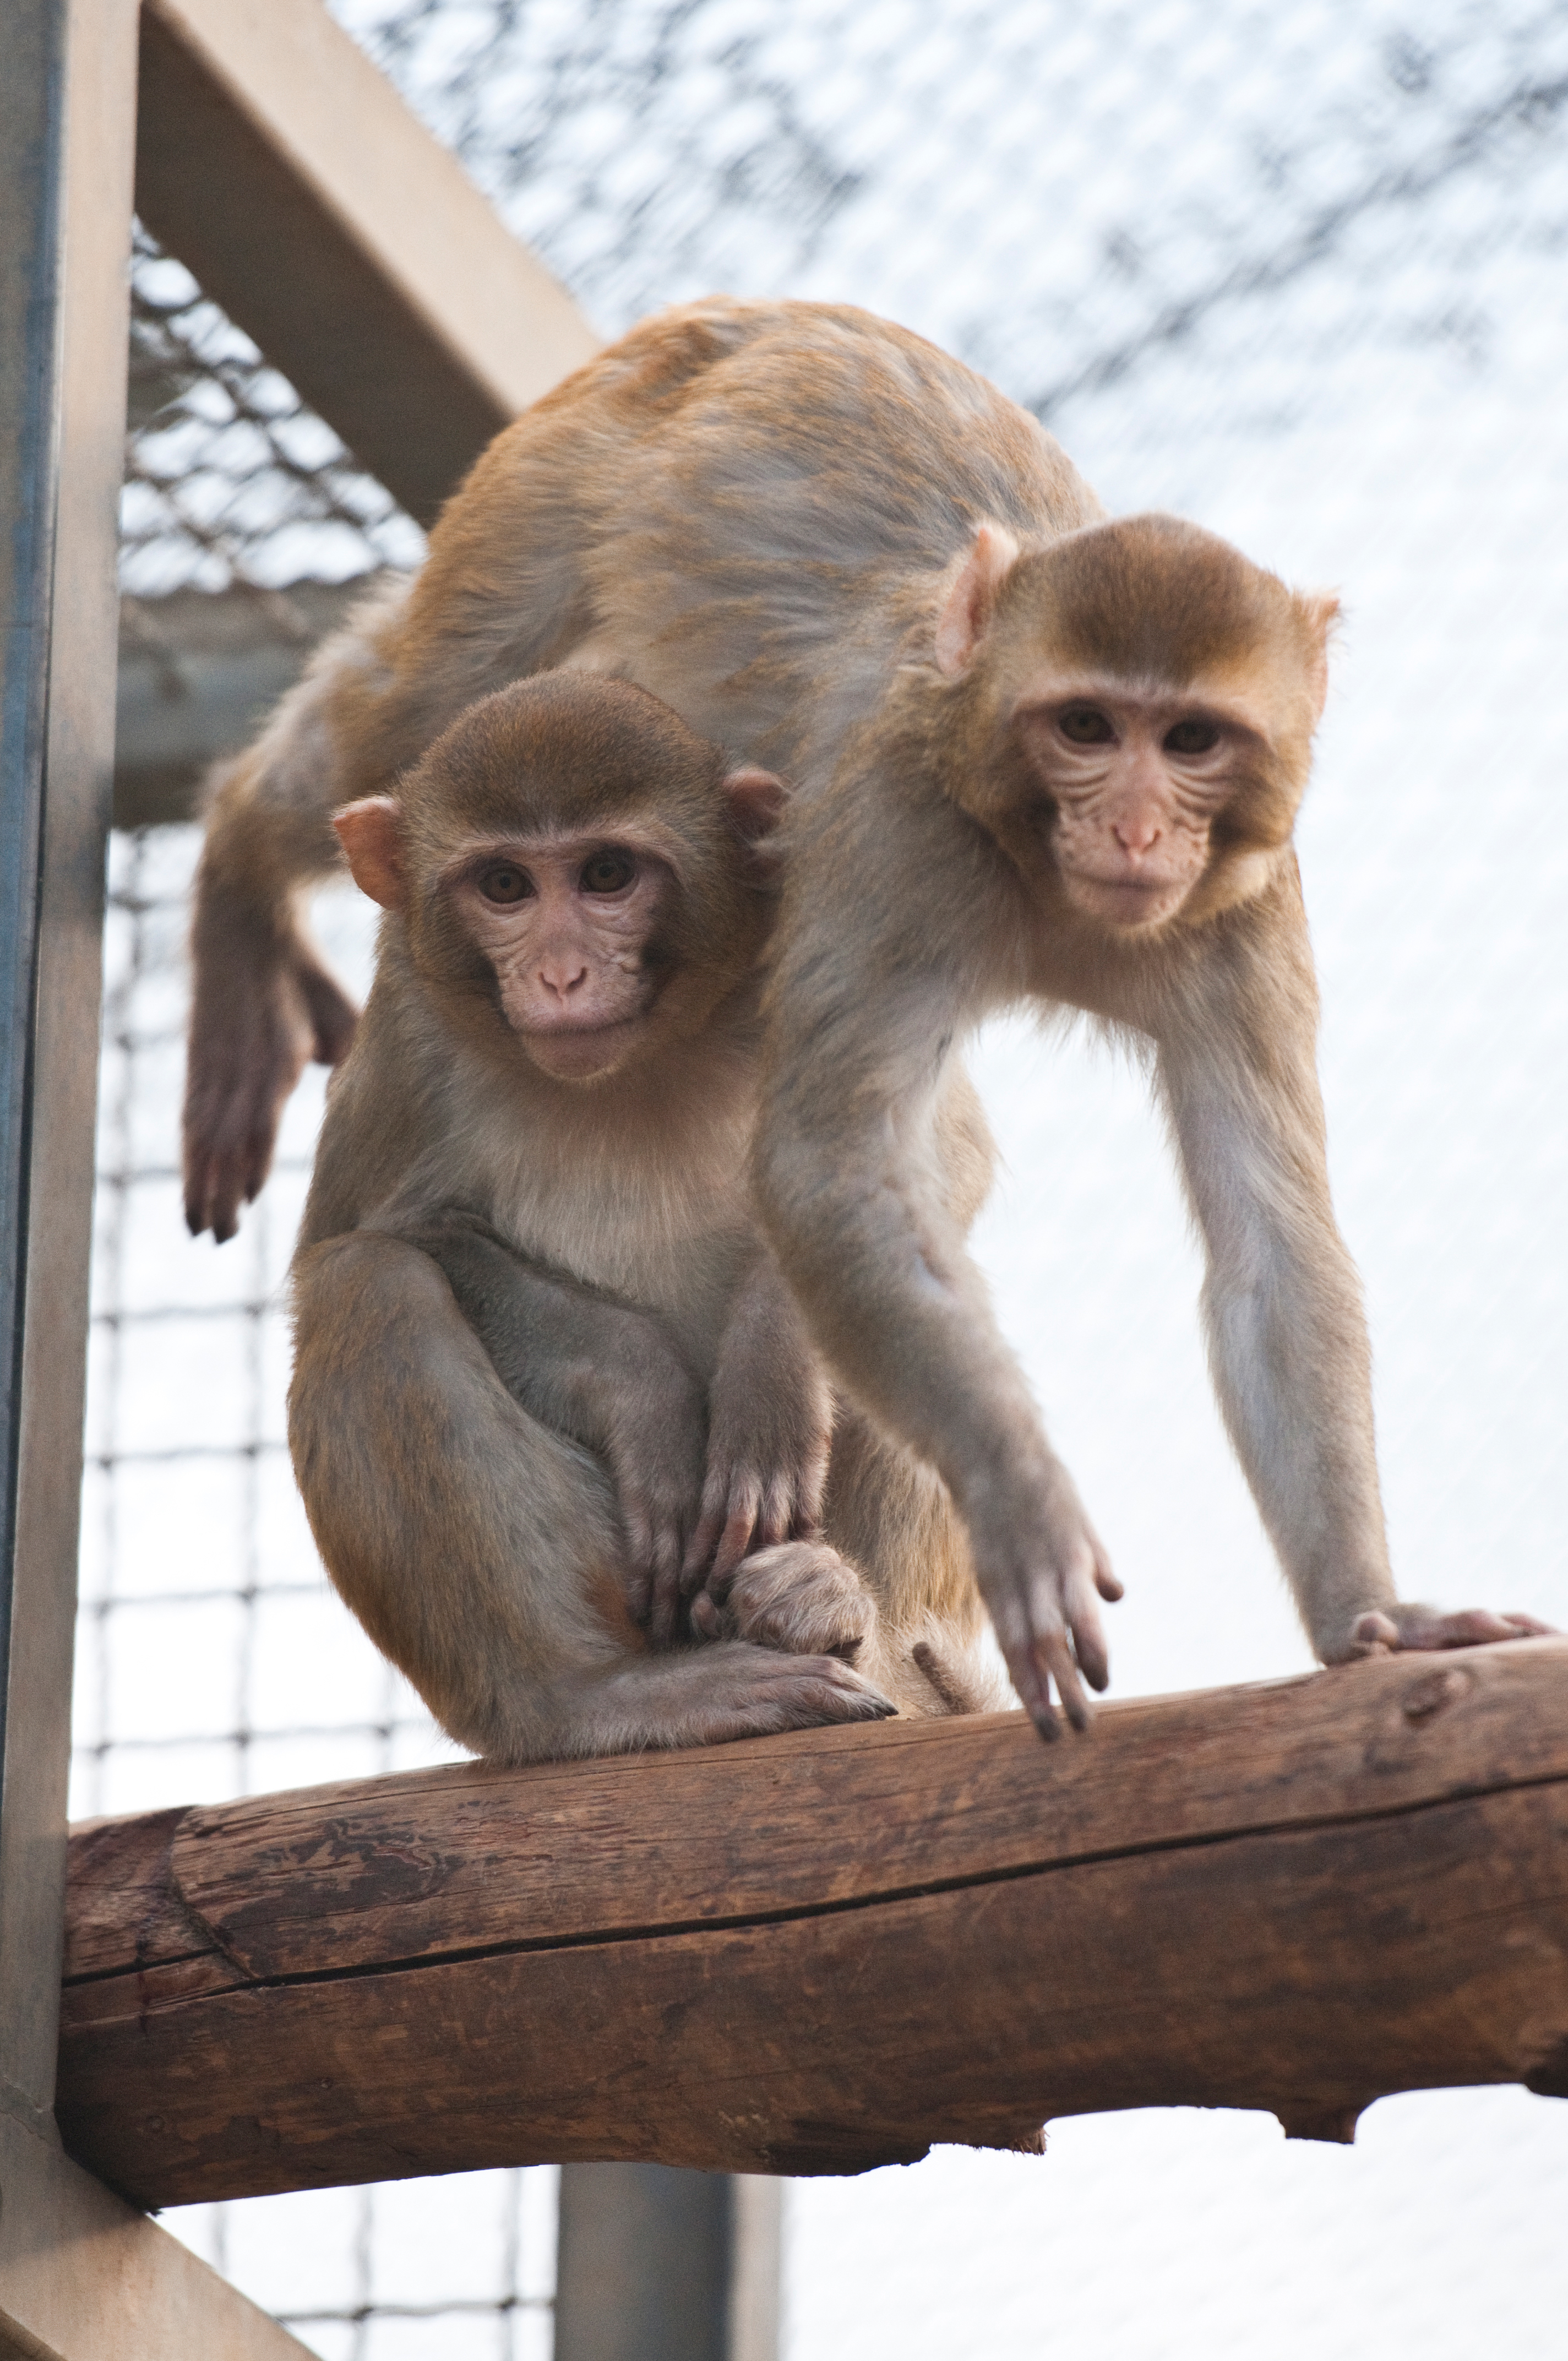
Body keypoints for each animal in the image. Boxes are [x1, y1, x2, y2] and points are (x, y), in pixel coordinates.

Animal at [288, 661, 1010, 1756]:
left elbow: (931, 1153)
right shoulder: (408, 1022)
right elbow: (374, 1235)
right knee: (366, 1285)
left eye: (606, 875)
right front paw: (648, 1397)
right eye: (505, 886)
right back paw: (585, 1698)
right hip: (625, 1581)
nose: (560, 974)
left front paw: (770, 1352)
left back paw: (839, 1607)